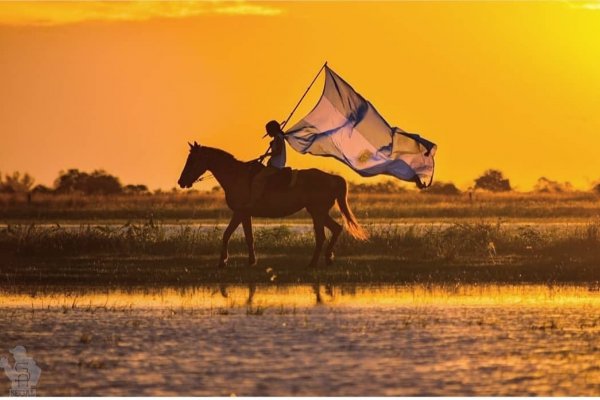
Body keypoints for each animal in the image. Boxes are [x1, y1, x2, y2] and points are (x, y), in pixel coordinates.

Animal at [176, 141, 368, 268]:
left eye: (192, 160)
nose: (181, 181)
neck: (236, 176)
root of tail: (333, 178)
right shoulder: (245, 214)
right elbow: (248, 237)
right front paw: (251, 261)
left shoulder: (239, 212)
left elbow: (226, 234)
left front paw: (223, 261)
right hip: (319, 213)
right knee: (336, 229)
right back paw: (328, 258)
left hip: (318, 213)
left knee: (322, 236)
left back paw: (313, 262)